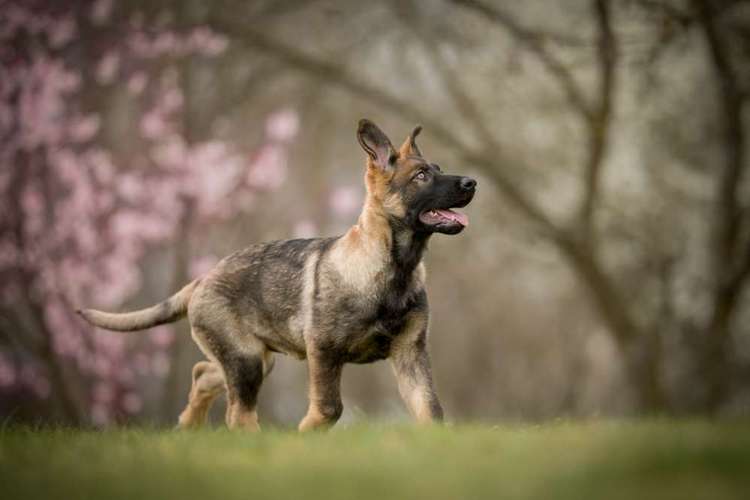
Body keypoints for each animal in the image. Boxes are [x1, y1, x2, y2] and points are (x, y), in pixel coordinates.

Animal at [76, 119, 476, 432]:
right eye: (422, 176)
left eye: (438, 168)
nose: (472, 183)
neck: (393, 265)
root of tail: (202, 279)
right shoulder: (324, 351)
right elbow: (329, 408)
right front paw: (303, 436)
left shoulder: (411, 354)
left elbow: (430, 409)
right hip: (247, 360)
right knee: (237, 414)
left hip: (253, 359)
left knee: (204, 374)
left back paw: (188, 427)